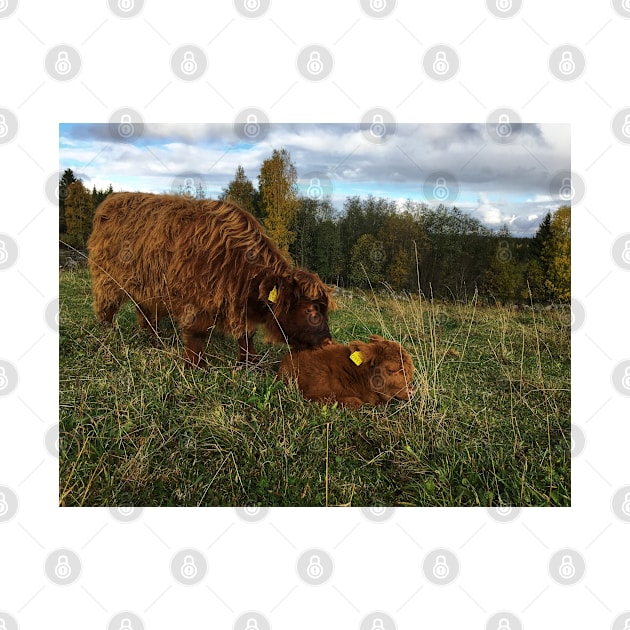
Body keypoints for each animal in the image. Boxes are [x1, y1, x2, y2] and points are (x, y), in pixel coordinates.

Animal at [87, 195, 340, 368]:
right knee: (106, 307)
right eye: (310, 310)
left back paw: (154, 339)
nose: (328, 342)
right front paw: (195, 366)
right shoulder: (194, 300)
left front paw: (250, 363)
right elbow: (197, 334)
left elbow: (246, 334)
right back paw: (107, 334)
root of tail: (113, 199)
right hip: (106, 277)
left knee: (145, 311)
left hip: (146, 285)